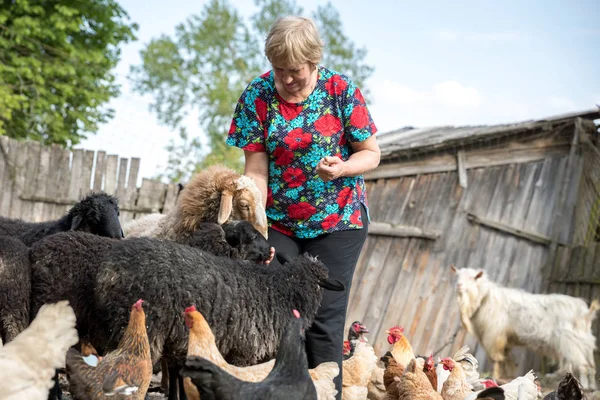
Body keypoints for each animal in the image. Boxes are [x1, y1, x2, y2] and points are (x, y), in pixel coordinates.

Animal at [452, 264, 596, 390]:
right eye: (457, 276)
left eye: (473, 278)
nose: (458, 285)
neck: (485, 298)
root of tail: (585, 313)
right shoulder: (505, 340)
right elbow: (507, 360)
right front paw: (506, 376)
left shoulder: (494, 335)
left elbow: (496, 360)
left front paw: (495, 376)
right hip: (584, 342)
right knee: (591, 365)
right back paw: (592, 386)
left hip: (570, 341)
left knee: (583, 365)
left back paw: (585, 385)